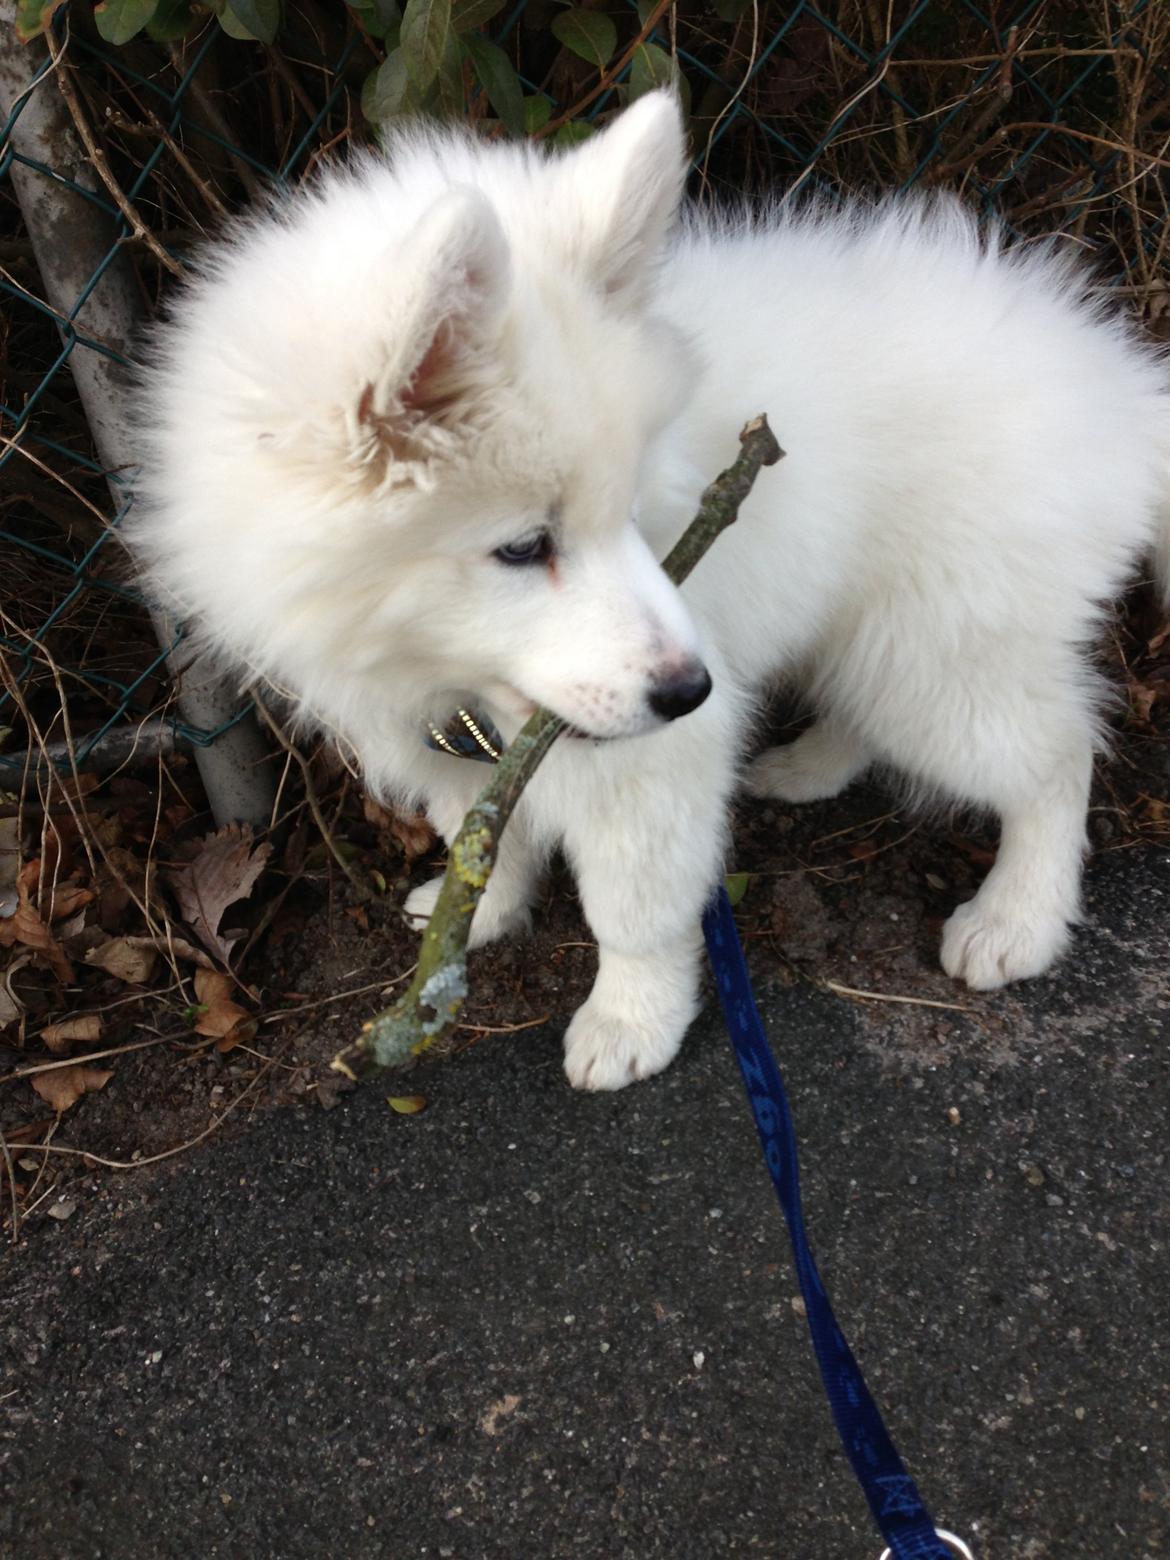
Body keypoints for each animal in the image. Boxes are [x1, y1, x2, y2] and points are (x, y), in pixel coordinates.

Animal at [130, 91, 1170, 1092]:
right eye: (524, 546)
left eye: (629, 509)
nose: (691, 689)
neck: (447, 673)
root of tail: (1122, 392)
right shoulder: (452, 741)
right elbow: (483, 837)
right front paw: (481, 916)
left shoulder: (644, 768)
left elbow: (632, 910)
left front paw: (632, 1022)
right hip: (882, 639)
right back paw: (808, 766)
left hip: (934, 654)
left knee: (1056, 753)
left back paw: (1017, 917)